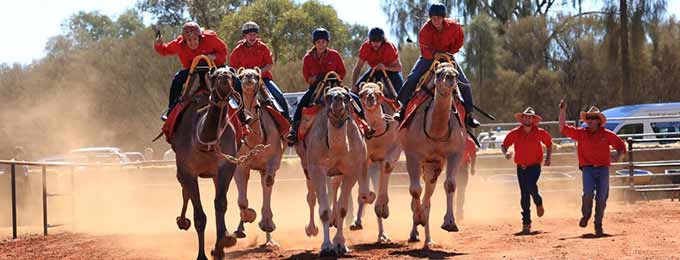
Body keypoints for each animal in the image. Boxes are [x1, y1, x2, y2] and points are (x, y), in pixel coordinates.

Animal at [168, 55, 240, 258]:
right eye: (215, 76)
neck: (205, 143)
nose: (224, 77)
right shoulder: (188, 171)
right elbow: (199, 216)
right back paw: (182, 221)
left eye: (232, 75)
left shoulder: (226, 167)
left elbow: (220, 204)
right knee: (184, 190)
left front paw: (223, 242)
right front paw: (201, 255)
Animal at [231, 67, 286, 248]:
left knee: (265, 183)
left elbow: (268, 183)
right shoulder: (240, 164)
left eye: (256, 75)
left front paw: (267, 223)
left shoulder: (272, 161)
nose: (248, 77)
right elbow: (242, 201)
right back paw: (240, 229)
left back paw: (269, 240)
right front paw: (249, 216)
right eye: (241, 75)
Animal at [294, 77, 374, 256]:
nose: (338, 98)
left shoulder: (351, 171)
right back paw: (311, 229)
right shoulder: (316, 168)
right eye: (328, 97)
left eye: (347, 97)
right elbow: (323, 210)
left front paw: (340, 244)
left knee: (335, 186)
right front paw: (326, 246)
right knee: (311, 196)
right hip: (306, 165)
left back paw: (334, 220)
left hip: (338, 171)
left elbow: (343, 208)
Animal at [348, 82, 402, 244]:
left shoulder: (394, 148)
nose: (370, 98)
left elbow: (387, 165)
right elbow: (365, 193)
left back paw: (381, 234)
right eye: (362, 93)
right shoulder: (364, 158)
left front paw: (383, 208)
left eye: (379, 93)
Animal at [398, 55, 468, 249]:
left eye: (456, 72)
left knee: (428, 197)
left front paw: (450, 223)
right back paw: (415, 232)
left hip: (433, 166)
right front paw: (418, 219)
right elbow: (414, 190)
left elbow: (450, 184)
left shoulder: (454, 154)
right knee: (418, 195)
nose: (450, 77)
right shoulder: (412, 156)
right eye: (438, 74)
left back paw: (428, 239)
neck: (435, 130)